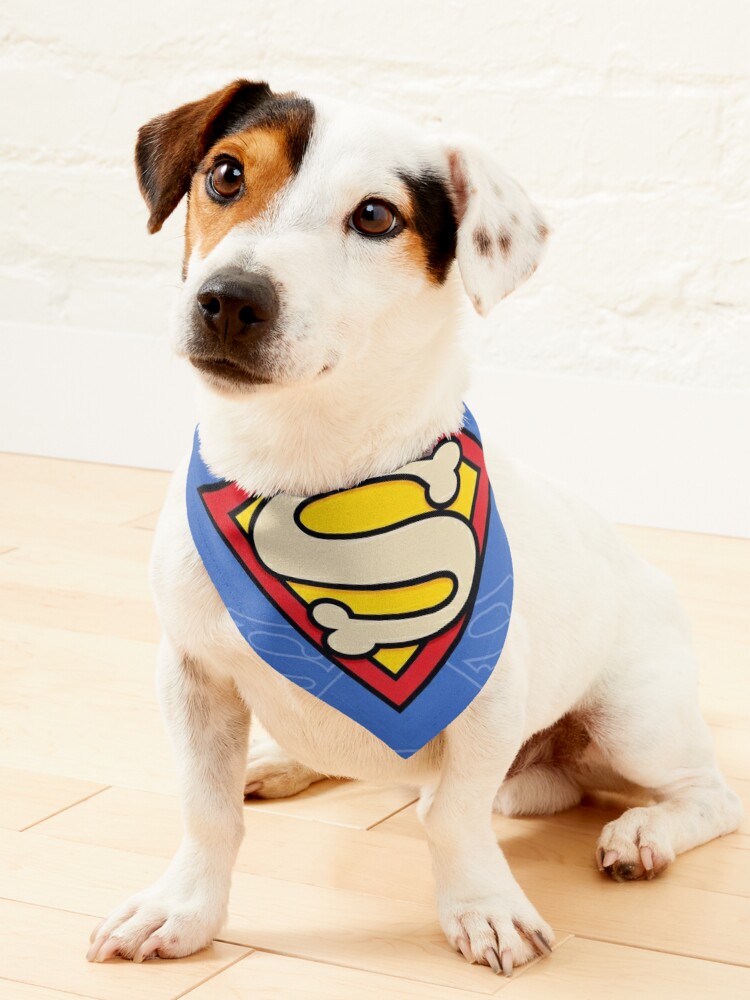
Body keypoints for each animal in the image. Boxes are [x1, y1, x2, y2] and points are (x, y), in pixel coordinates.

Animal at [85, 82, 744, 972]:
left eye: (375, 216)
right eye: (225, 174)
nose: (230, 298)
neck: (308, 470)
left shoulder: (487, 698)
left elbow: (453, 817)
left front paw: (483, 908)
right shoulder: (192, 677)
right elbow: (207, 810)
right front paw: (183, 908)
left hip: (635, 719)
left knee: (708, 796)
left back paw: (645, 833)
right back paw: (282, 761)